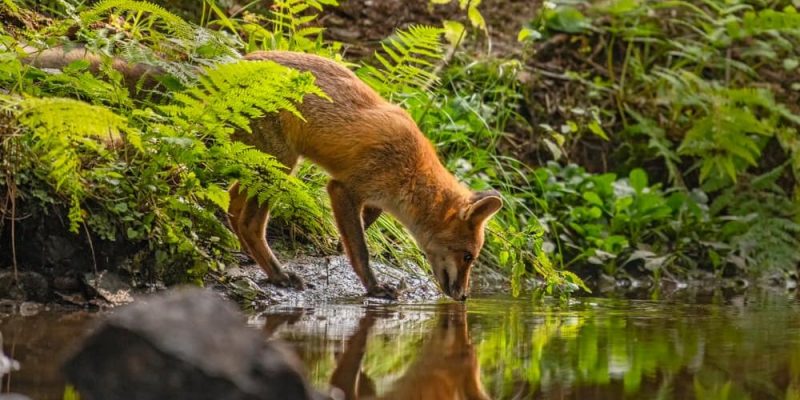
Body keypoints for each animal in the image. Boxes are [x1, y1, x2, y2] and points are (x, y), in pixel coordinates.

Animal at [23, 46, 500, 300]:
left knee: (234, 210)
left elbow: (358, 232)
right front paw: (373, 286)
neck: (411, 173)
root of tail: (234, 62)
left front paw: (338, 247)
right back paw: (277, 274)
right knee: (247, 219)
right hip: (279, 164)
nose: (464, 298)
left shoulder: (368, 198)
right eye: (469, 257)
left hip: (258, 163)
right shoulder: (344, 186)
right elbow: (361, 250)